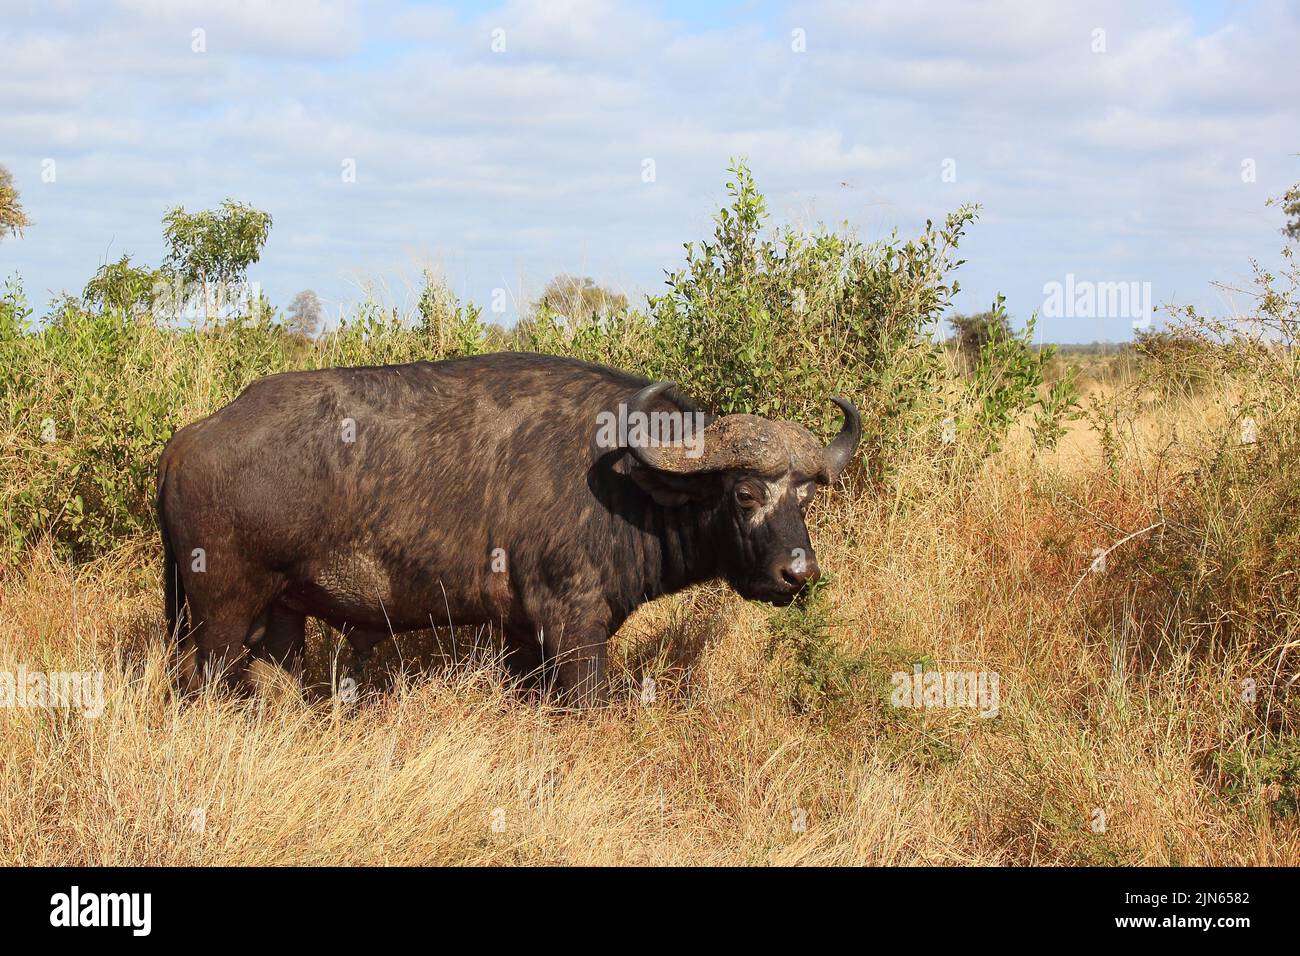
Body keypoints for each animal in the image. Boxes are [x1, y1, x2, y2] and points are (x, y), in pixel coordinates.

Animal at [157, 352, 861, 705]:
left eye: (806, 495)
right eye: (744, 493)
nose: (798, 573)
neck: (621, 479)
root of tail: (188, 440)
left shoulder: (523, 633)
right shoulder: (575, 626)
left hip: (279, 616)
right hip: (220, 618)